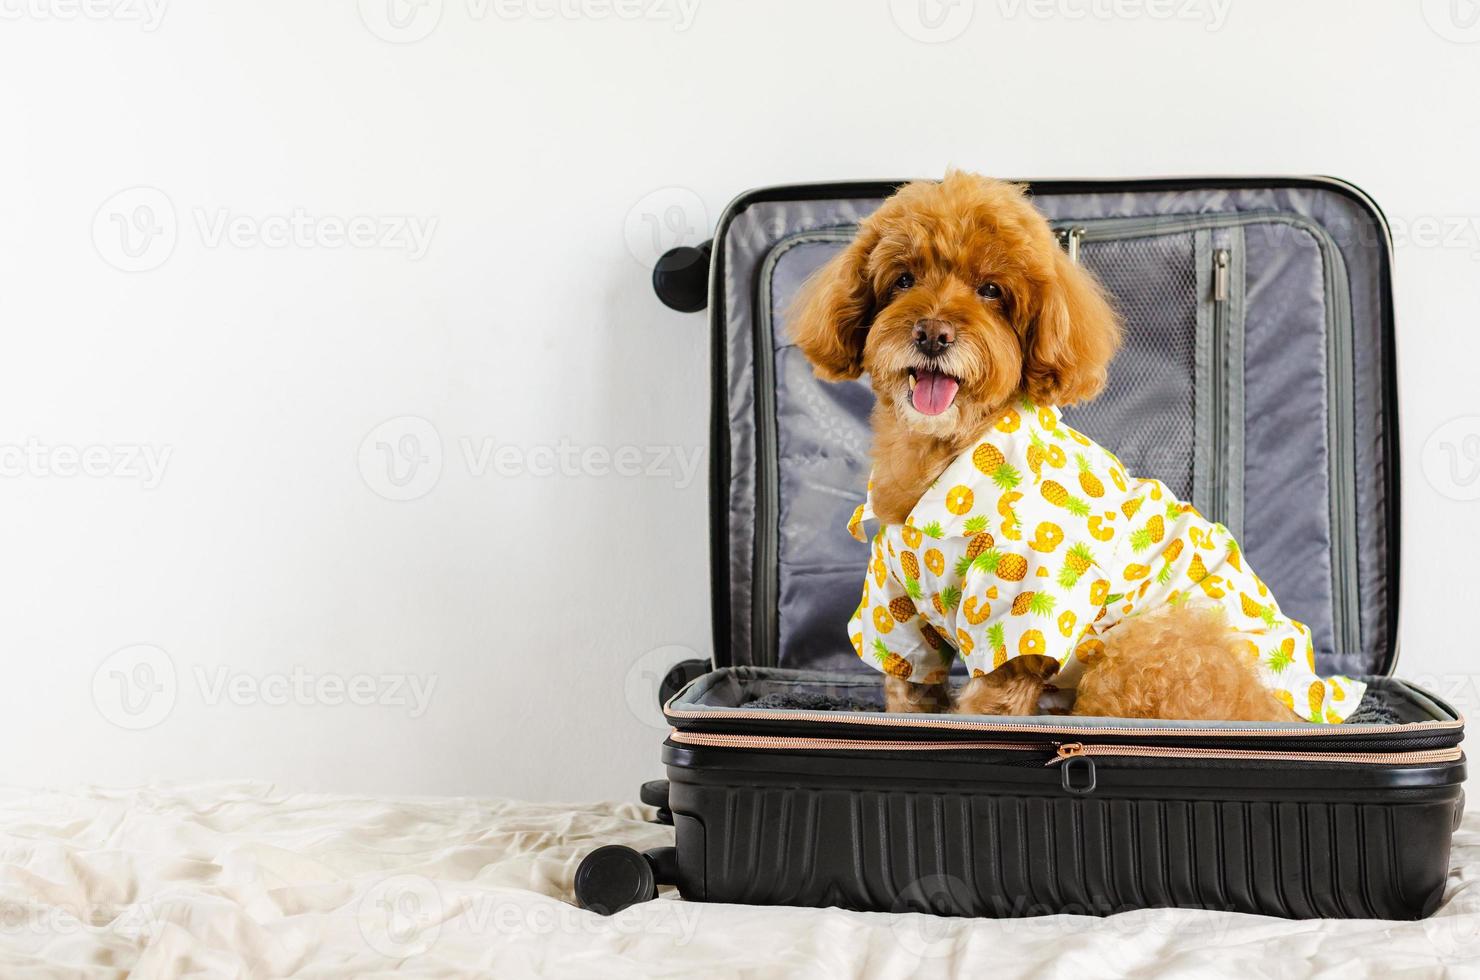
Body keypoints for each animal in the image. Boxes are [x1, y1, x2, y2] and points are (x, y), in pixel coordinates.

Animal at [787, 168, 1296, 725]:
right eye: (903, 279)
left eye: (991, 290)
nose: (933, 334)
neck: (945, 455)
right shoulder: (896, 613)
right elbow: (909, 692)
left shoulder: (1018, 616)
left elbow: (986, 707)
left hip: (1149, 653)